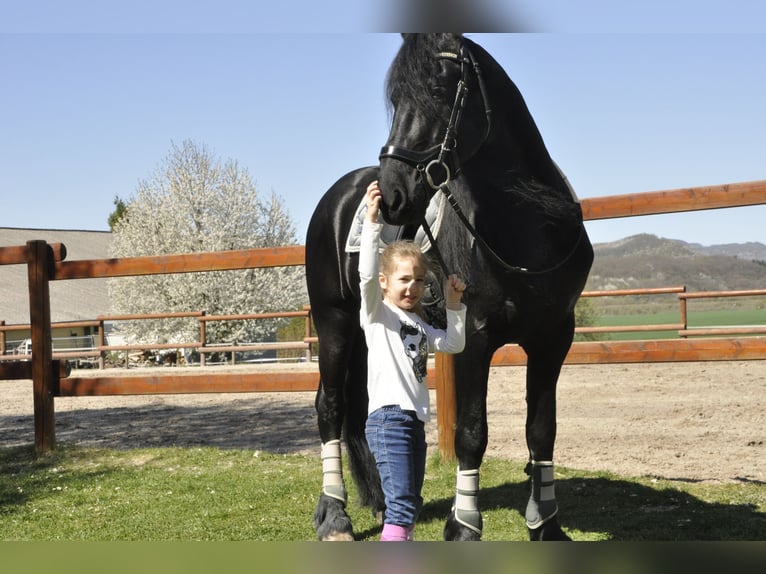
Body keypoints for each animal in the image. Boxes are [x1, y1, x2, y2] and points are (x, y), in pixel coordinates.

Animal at [306, 33, 593, 541]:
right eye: (396, 99)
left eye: (438, 92)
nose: (392, 194)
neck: (529, 227)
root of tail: (337, 195)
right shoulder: (474, 339)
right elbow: (471, 432)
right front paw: (463, 525)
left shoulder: (554, 338)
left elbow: (542, 431)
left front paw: (546, 524)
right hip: (333, 323)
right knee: (330, 406)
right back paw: (334, 513)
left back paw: (381, 502)